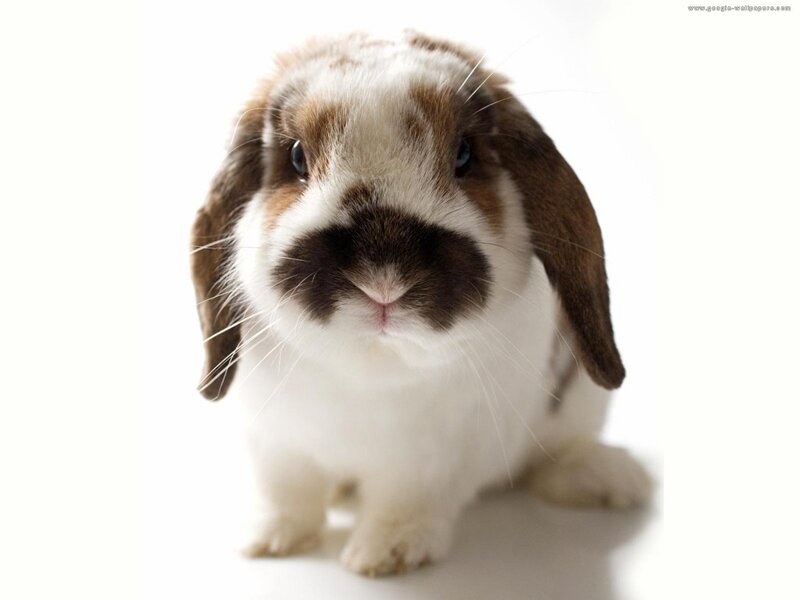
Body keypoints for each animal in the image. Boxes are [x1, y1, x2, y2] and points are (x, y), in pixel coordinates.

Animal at [190, 32, 652, 576]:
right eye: (297, 158)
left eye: (465, 155)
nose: (383, 278)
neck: (372, 367)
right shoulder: (276, 443)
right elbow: (286, 495)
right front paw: (270, 541)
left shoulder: (434, 461)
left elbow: (405, 503)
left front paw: (384, 556)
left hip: (580, 402)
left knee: (564, 450)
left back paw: (609, 478)